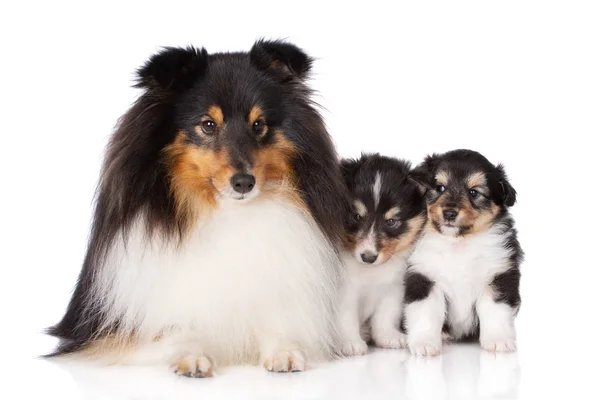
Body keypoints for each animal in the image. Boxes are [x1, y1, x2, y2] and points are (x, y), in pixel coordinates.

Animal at [48, 39, 352, 376]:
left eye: (258, 124)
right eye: (208, 125)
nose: (244, 183)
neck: (227, 212)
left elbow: (275, 319)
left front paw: (283, 351)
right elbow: (178, 329)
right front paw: (192, 356)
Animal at [338, 154, 426, 356]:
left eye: (391, 221)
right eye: (356, 216)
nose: (368, 257)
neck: (371, 272)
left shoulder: (394, 288)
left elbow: (386, 315)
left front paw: (389, 337)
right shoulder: (344, 291)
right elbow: (346, 317)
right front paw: (350, 343)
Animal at [406, 150, 524, 356]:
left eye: (473, 192)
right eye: (440, 187)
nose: (449, 213)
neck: (458, 244)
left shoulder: (498, 274)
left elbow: (495, 310)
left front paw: (498, 341)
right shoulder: (423, 277)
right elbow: (425, 312)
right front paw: (424, 344)